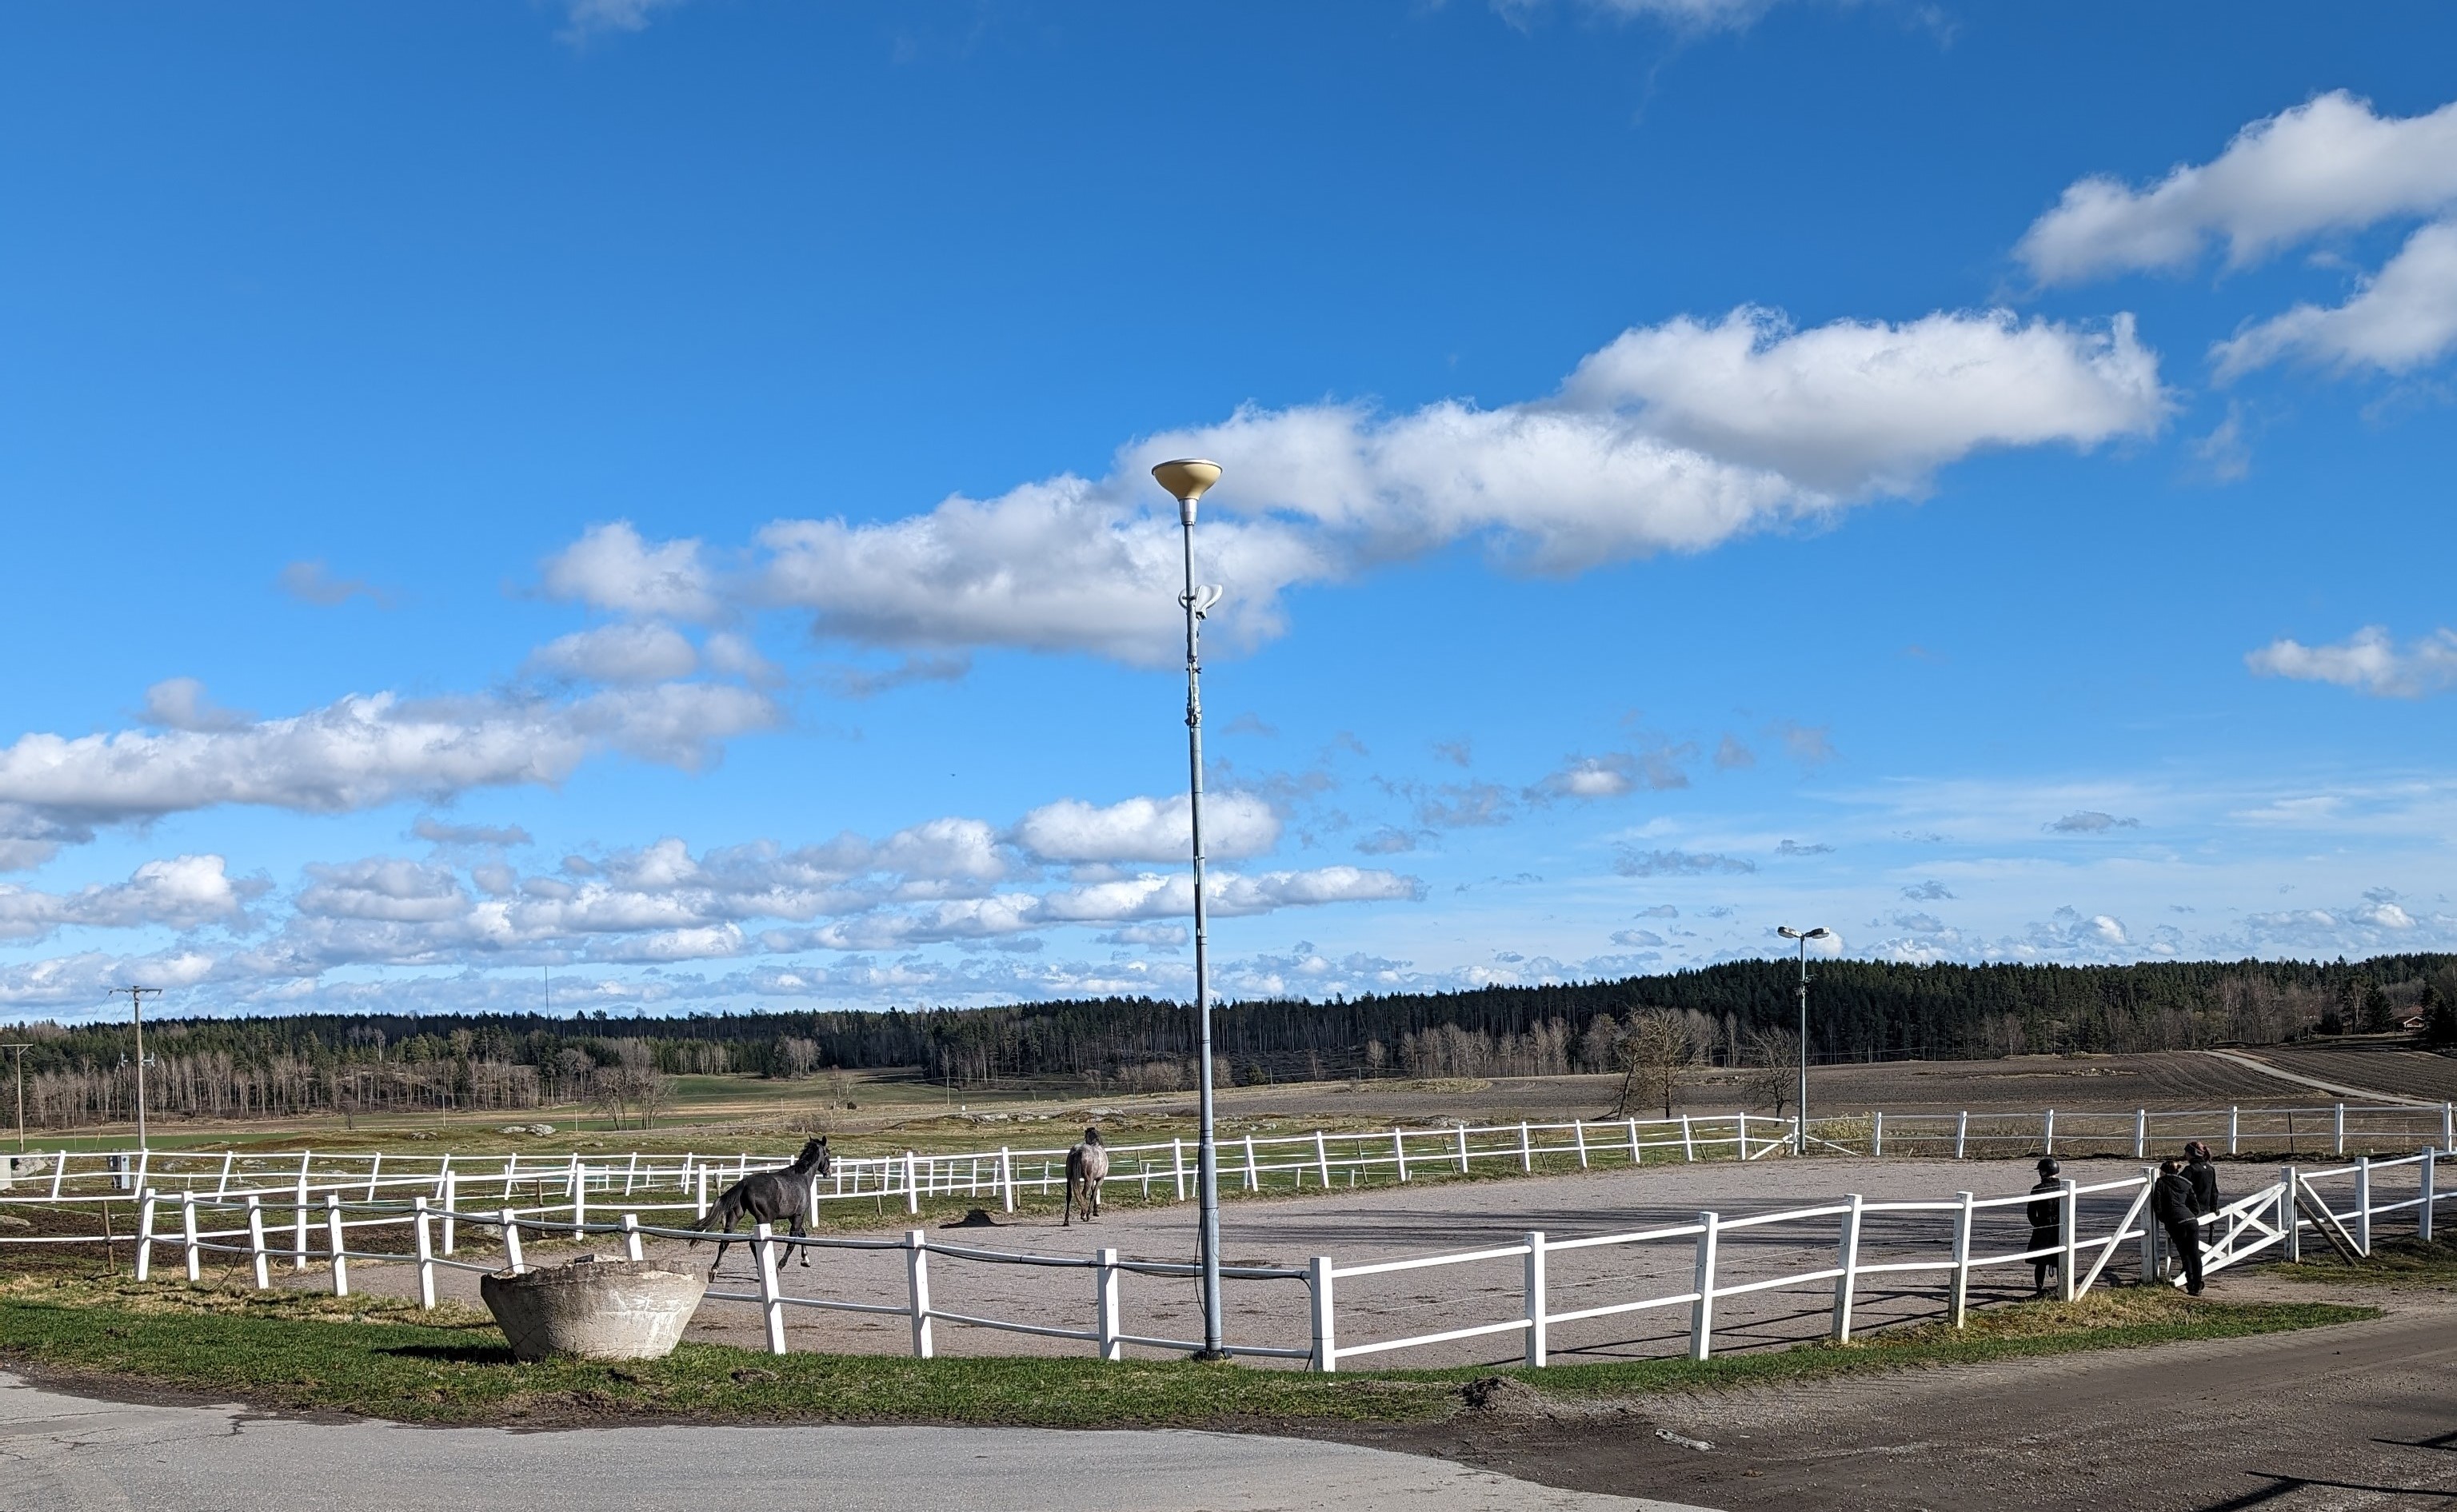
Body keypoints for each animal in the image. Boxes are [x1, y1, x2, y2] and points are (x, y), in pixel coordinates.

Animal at [693, 1139, 835, 1267]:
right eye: (828, 1153)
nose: (829, 1172)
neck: (800, 1178)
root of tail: (744, 1183)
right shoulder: (798, 1215)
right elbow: (792, 1242)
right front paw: (781, 1266)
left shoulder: (791, 1216)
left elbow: (802, 1235)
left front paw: (805, 1260)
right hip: (766, 1219)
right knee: (753, 1243)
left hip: (735, 1216)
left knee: (724, 1242)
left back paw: (714, 1270)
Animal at [1056, 1123, 1105, 1227]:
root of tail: (1079, 1150)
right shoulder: (1099, 1179)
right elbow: (1093, 1194)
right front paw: (1090, 1214)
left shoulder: (1093, 1180)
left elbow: (1093, 1193)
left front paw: (1095, 1212)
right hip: (1088, 1180)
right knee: (1083, 1195)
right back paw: (1084, 1215)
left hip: (1069, 1179)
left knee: (1069, 1196)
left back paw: (1066, 1221)